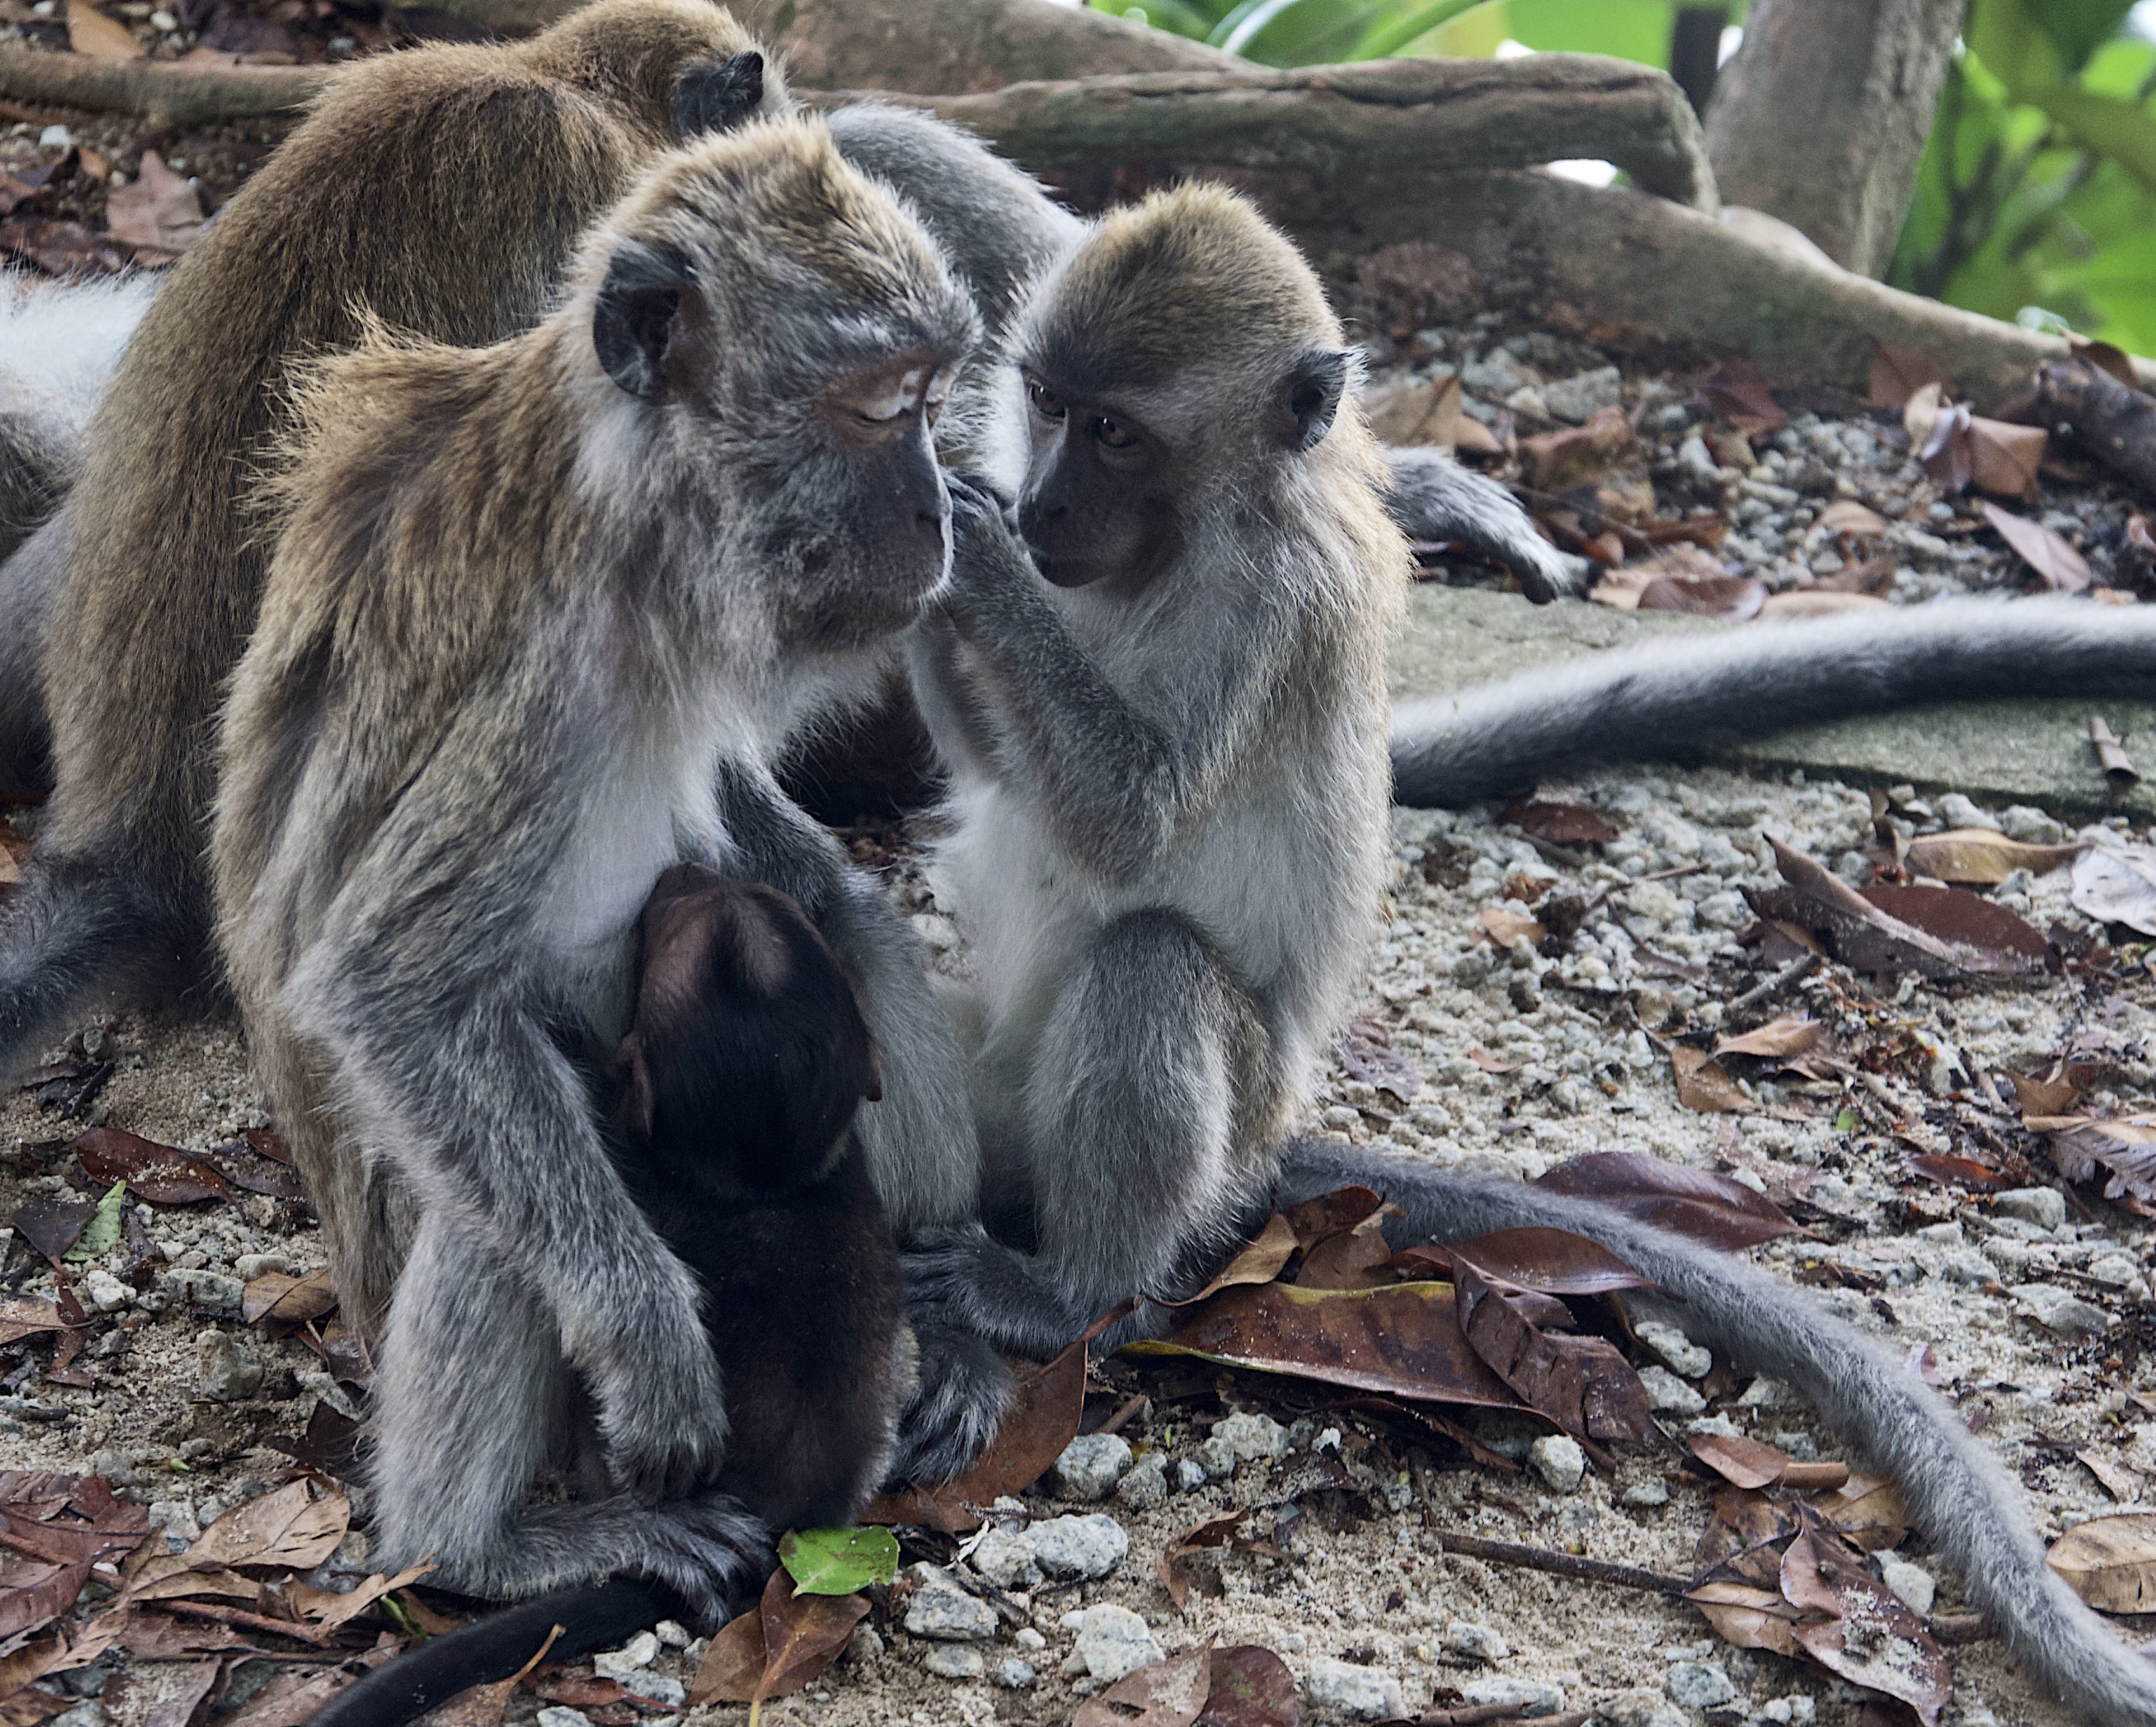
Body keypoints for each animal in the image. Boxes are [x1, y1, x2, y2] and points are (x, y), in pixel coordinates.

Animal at [209, 115, 979, 1617]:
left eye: (933, 397)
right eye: (879, 407)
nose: (941, 515)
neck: (633, 515)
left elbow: (771, 857)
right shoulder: (547, 672)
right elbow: (391, 989)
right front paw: (651, 1341)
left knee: (838, 925)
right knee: (491, 1170)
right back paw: (476, 1546)